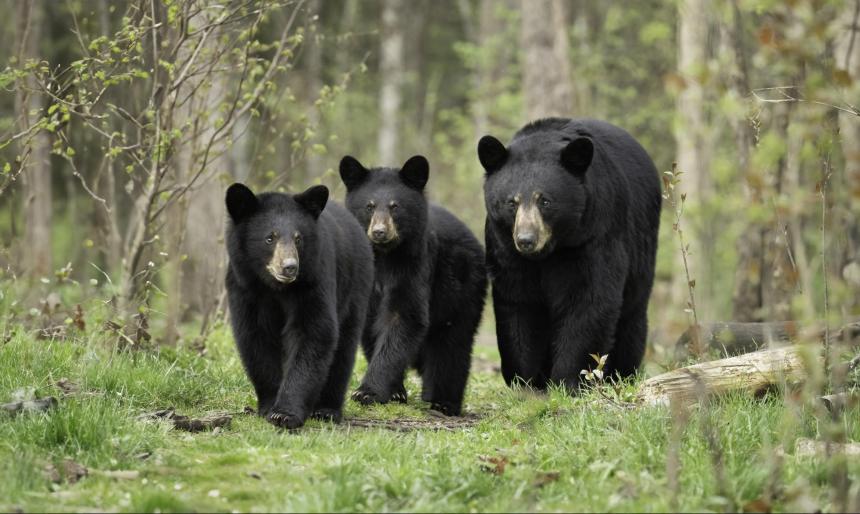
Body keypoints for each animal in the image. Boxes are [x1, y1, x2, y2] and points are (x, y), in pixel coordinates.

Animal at [224, 183, 373, 429]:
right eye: (270, 238)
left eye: (298, 239)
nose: (290, 267)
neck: (275, 287)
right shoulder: (245, 287)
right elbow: (255, 338)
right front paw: (269, 406)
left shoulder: (313, 281)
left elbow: (313, 332)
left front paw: (284, 413)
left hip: (354, 286)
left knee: (343, 347)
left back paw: (327, 409)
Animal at [338, 154, 487, 416]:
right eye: (369, 206)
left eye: (395, 206)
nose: (379, 232)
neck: (384, 256)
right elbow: (371, 326)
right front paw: (395, 392)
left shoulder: (414, 264)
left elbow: (404, 317)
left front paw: (367, 392)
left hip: (463, 287)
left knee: (452, 344)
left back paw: (443, 401)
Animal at [477, 117, 661, 391]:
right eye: (511, 202)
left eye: (545, 201)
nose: (526, 240)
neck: (550, 250)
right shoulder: (506, 248)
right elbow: (519, 302)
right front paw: (525, 381)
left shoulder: (593, 235)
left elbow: (589, 299)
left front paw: (570, 381)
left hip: (642, 247)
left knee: (632, 314)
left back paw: (622, 372)